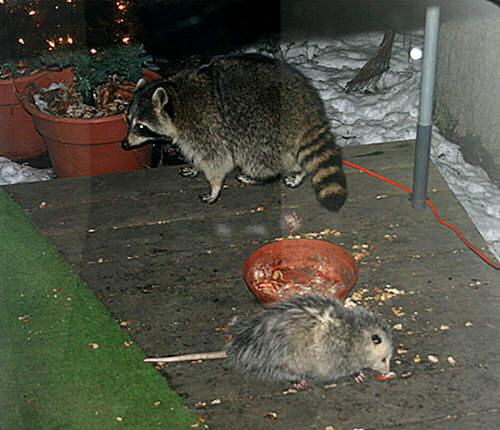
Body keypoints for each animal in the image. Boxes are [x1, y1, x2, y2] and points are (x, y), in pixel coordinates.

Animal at [123, 53, 346, 210]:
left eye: (141, 127)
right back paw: (298, 172)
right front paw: (194, 166)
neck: (176, 97)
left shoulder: (205, 125)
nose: (124, 144)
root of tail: (308, 108)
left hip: (261, 125)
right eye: (128, 121)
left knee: (254, 154)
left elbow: (217, 159)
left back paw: (259, 176)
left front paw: (214, 187)